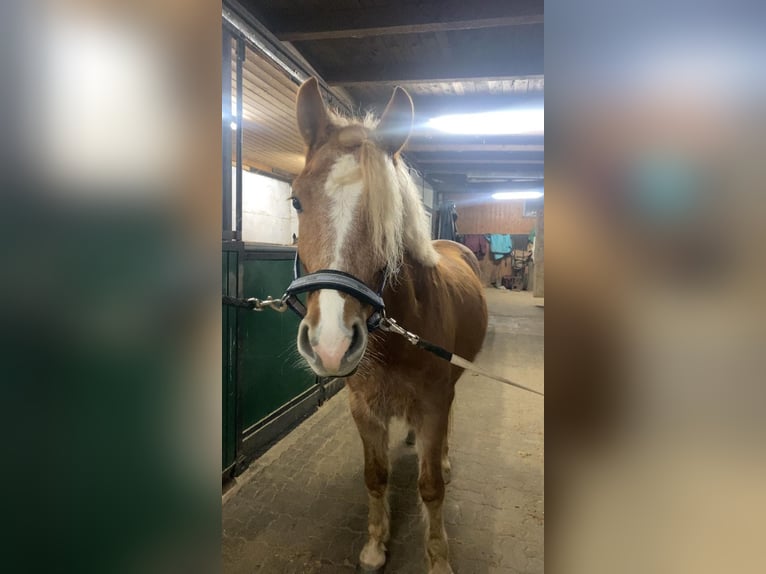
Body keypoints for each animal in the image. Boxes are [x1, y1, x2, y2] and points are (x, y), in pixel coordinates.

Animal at [292, 77, 488, 574]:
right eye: (296, 200)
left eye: (389, 212)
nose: (331, 345)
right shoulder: (363, 408)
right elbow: (375, 476)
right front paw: (375, 545)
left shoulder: (436, 402)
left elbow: (432, 487)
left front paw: (438, 557)